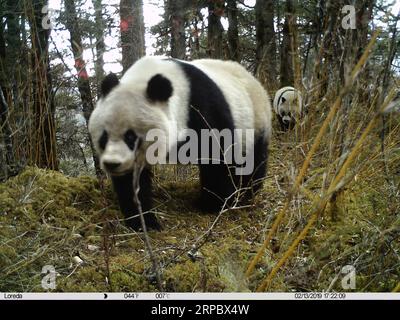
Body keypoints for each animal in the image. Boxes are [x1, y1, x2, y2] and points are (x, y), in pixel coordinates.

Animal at [88, 57, 272, 230]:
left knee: (254, 159)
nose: (112, 164)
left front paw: (214, 204)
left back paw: (247, 192)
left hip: (255, 117)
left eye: (130, 137)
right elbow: (131, 182)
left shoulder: (202, 107)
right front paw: (143, 222)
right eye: (104, 136)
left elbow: (218, 156)